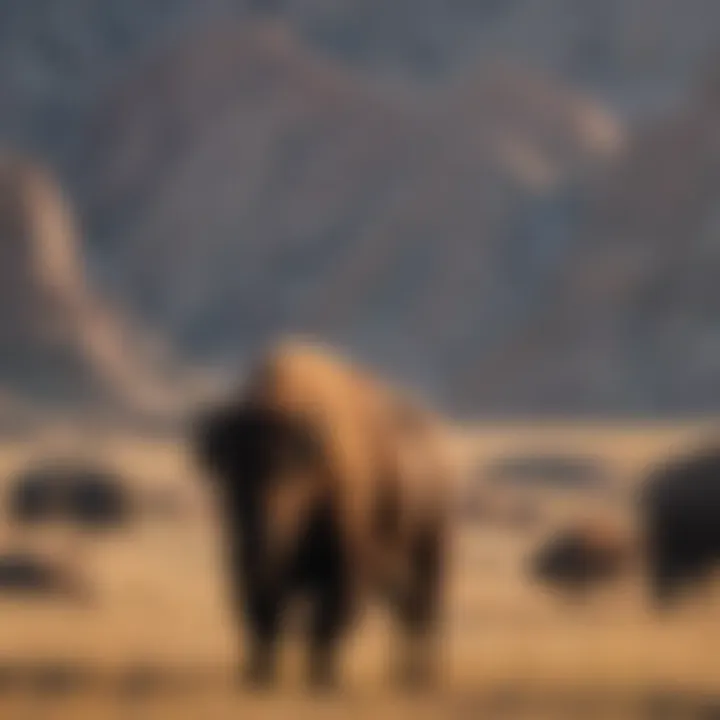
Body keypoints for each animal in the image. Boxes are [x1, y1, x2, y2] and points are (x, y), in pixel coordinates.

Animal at [194, 342, 452, 692]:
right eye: (232, 475)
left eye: (288, 477)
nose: (258, 537)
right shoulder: (253, 571)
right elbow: (264, 620)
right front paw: (260, 678)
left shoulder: (346, 568)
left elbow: (326, 623)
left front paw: (322, 680)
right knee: (407, 617)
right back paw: (406, 675)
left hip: (431, 557)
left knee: (424, 616)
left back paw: (421, 677)